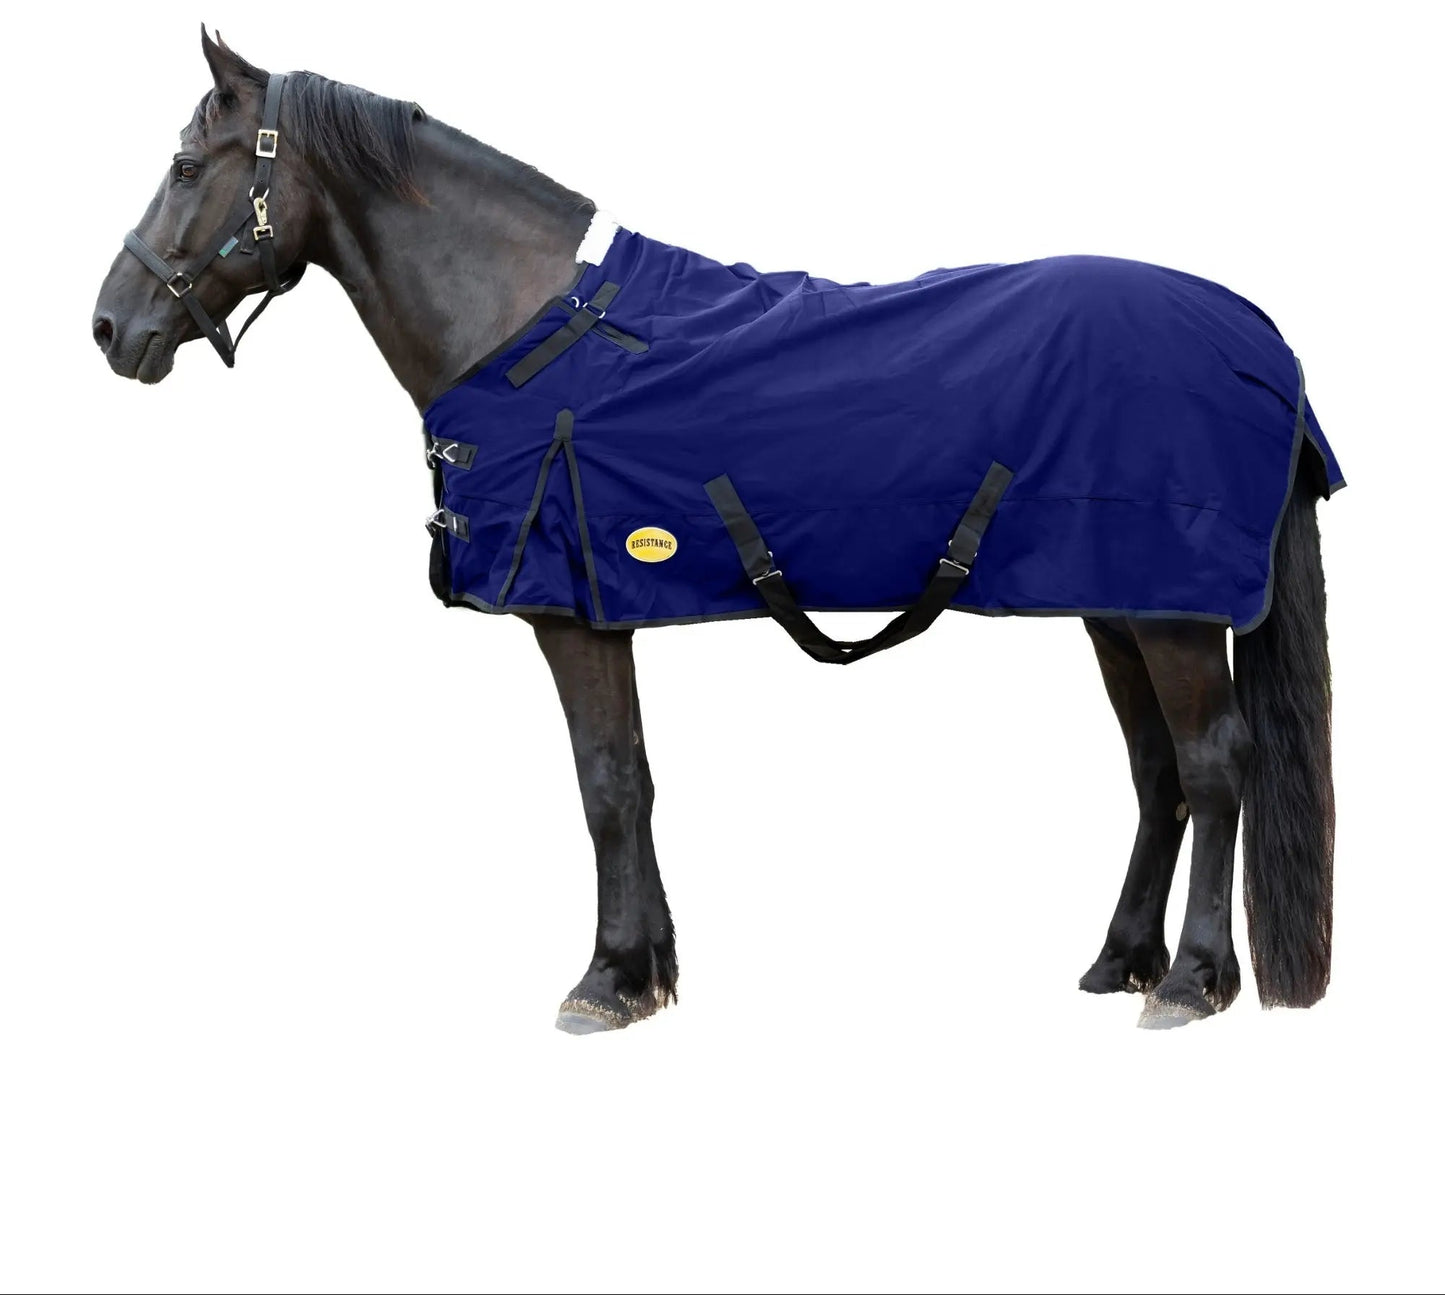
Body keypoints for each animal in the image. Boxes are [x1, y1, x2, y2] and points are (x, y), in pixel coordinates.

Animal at [92, 30, 1338, 1034]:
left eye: (186, 167)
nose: (109, 325)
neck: (527, 329)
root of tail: (1255, 336)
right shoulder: (604, 608)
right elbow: (635, 778)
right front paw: (647, 969)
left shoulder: (566, 613)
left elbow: (602, 782)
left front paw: (602, 980)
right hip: (1117, 604)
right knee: (1155, 769)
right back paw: (1119, 959)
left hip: (1171, 613)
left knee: (1212, 764)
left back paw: (1189, 979)